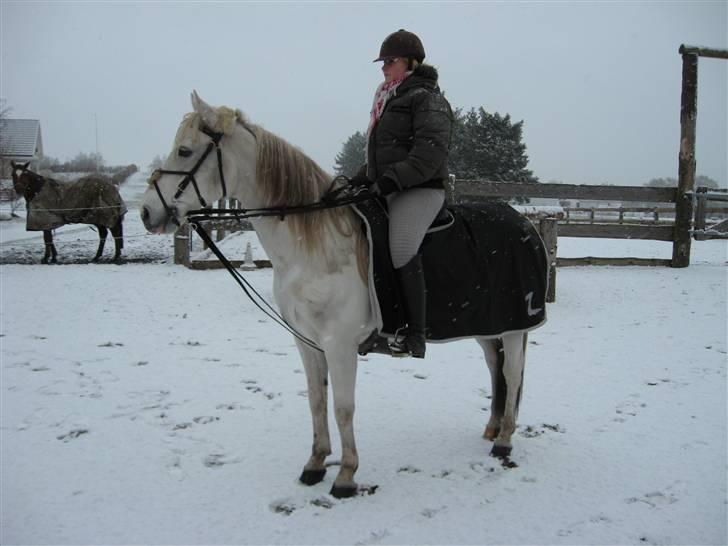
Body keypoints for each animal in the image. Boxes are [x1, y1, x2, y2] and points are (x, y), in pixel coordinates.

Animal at [141, 93, 540, 498]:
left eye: (185, 151)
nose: (146, 212)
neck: (315, 244)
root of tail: (523, 221)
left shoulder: (340, 344)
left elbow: (343, 407)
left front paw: (346, 476)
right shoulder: (307, 341)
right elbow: (317, 400)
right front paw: (315, 464)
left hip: (513, 327)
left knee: (511, 372)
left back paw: (504, 441)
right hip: (487, 326)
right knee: (494, 367)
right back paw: (492, 429)